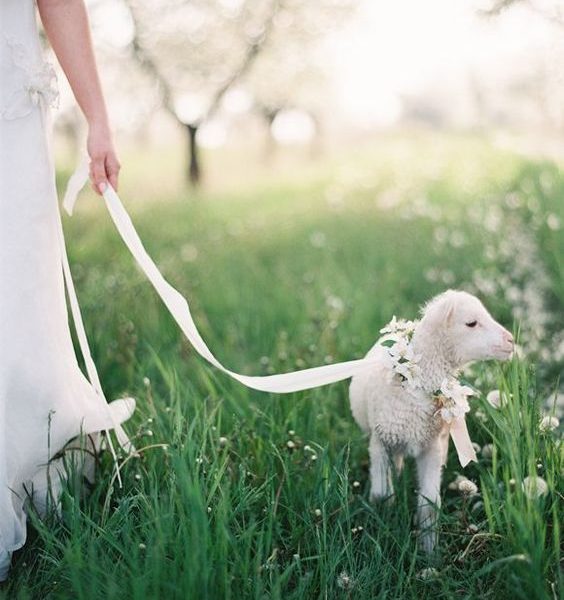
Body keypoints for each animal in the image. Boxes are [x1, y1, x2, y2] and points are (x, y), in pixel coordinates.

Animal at [350, 290, 512, 552]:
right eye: (471, 323)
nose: (511, 341)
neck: (415, 385)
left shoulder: (431, 448)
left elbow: (429, 507)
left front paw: (430, 553)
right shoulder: (380, 442)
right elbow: (382, 496)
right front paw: (380, 533)